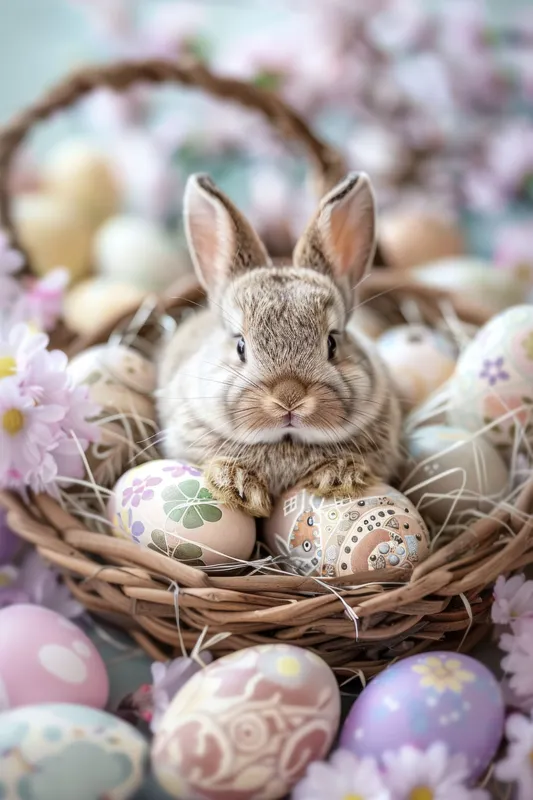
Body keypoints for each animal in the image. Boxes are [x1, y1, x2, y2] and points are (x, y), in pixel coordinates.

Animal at [157, 171, 402, 517]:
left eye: (332, 343)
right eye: (240, 346)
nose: (289, 398)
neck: (286, 442)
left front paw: (337, 476)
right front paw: (238, 485)